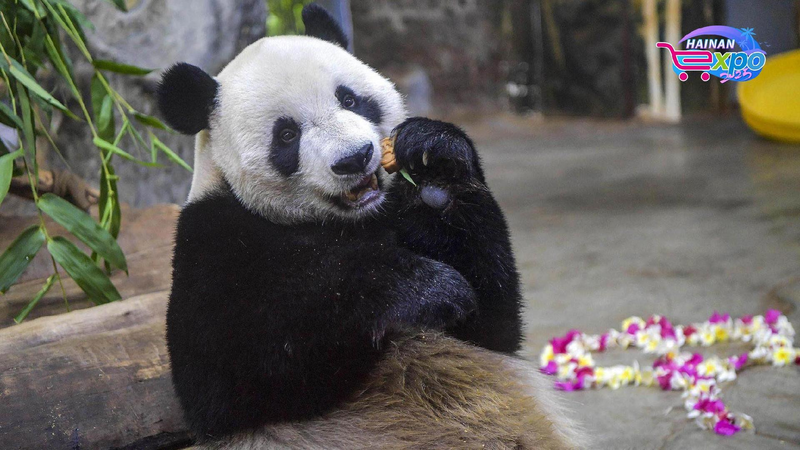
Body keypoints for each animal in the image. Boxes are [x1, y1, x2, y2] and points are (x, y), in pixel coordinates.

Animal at [159, 4, 585, 449]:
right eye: (287, 135)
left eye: (349, 98)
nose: (355, 157)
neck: (347, 221)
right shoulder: (210, 239)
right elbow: (231, 369)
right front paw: (424, 288)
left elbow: (493, 325)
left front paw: (436, 161)